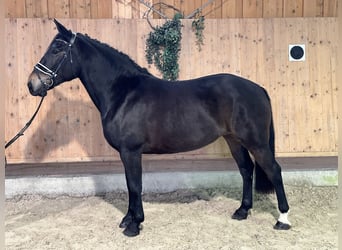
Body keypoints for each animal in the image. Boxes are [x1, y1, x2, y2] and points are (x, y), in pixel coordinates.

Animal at [27, 19, 292, 236]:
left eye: (57, 48)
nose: (32, 84)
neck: (123, 93)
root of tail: (257, 88)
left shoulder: (131, 151)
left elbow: (135, 185)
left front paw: (134, 225)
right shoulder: (127, 153)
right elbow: (130, 185)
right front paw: (127, 219)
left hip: (256, 143)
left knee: (274, 170)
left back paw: (283, 219)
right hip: (233, 140)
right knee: (246, 170)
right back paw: (242, 211)